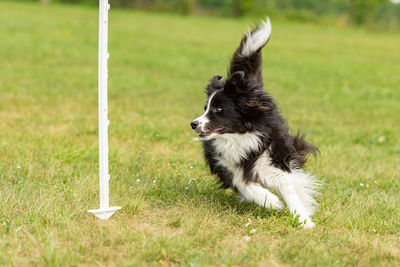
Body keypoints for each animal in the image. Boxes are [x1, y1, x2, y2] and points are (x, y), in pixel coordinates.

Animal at [190, 17, 318, 229]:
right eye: (205, 108)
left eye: (218, 109)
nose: (193, 124)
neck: (239, 136)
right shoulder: (224, 162)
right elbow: (243, 183)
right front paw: (271, 201)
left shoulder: (273, 156)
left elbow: (288, 185)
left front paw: (303, 220)